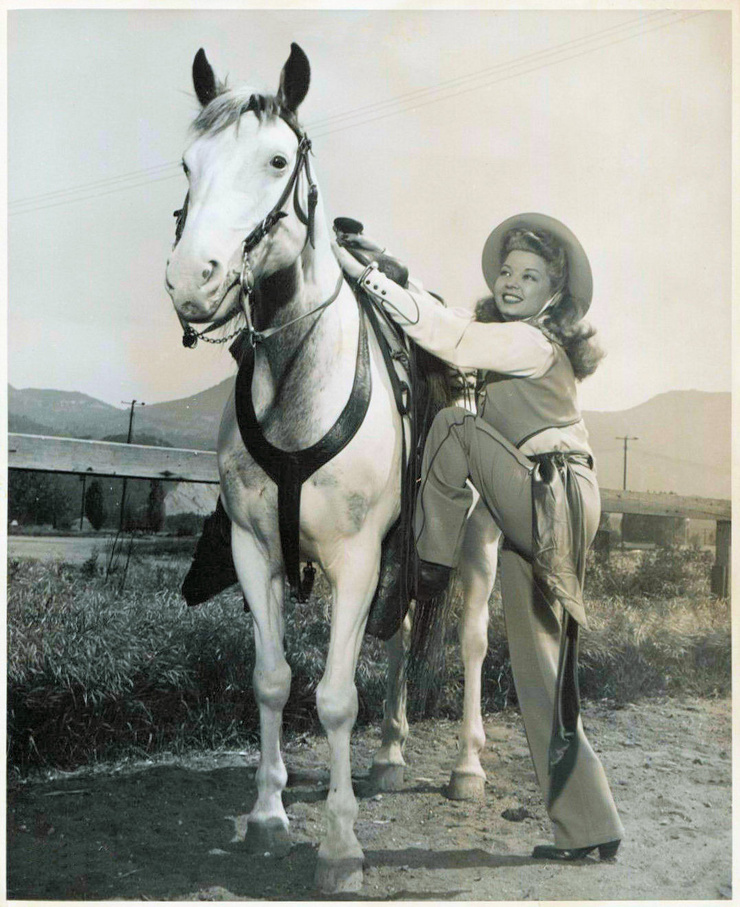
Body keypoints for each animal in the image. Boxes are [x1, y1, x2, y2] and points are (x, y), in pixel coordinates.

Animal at [167, 46, 502, 892]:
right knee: (404, 633)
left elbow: (337, 696)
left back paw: (467, 767)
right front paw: (268, 817)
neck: (299, 383)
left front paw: (341, 845)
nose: (191, 280)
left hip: (479, 543)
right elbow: (273, 679)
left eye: (278, 160)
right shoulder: (256, 550)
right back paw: (389, 755)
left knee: (474, 639)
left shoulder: (353, 560)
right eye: (188, 163)